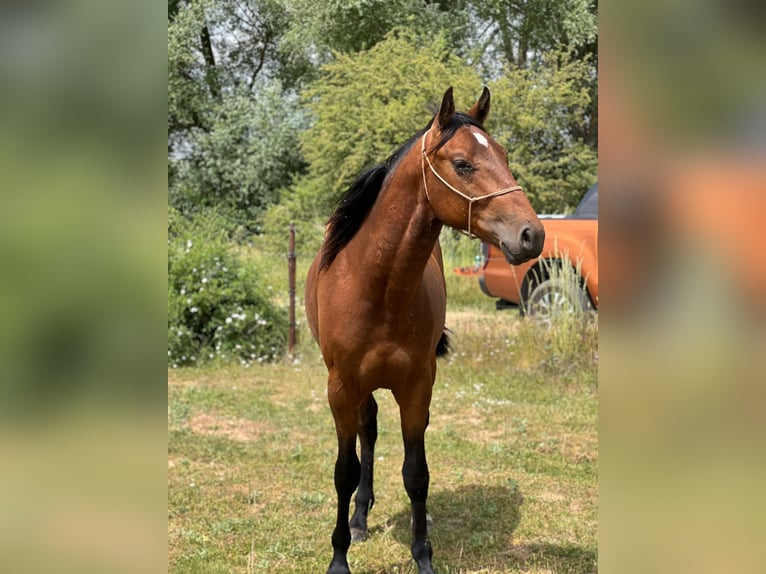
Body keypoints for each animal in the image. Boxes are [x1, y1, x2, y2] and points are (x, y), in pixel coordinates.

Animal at [304, 87, 544, 574]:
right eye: (463, 164)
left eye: (505, 156)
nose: (532, 235)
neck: (377, 288)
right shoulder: (341, 387)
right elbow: (344, 471)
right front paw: (339, 556)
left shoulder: (417, 385)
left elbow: (417, 473)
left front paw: (424, 555)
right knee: (368, 433)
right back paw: (359, 519)